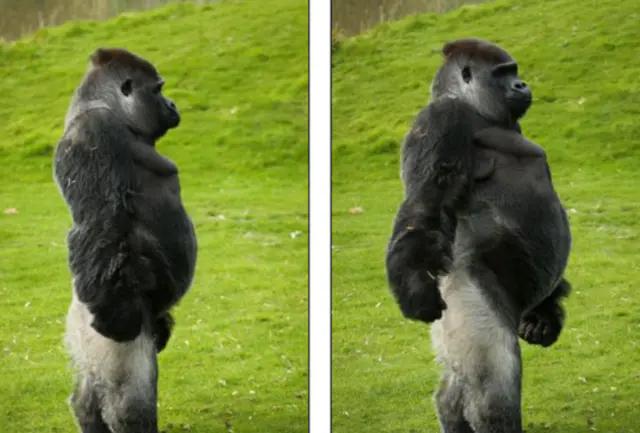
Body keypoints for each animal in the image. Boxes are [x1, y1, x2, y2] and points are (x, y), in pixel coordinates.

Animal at [54, 48, 197, 433]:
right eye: (158, 89)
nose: (173, 103)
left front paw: (164, 326)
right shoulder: (95, 133)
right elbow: (102, 221)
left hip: (82, 329)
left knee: (87, 395)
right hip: (104, 320)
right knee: (129, 402)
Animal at [385, 39, 571, 433]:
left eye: (514, 71)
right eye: (503, 74)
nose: (521, 84)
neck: (473, 107)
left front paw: (545, 315)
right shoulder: (440, 120)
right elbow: (423, 206)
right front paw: (414, 289)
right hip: (464, 287)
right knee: (492, 384)